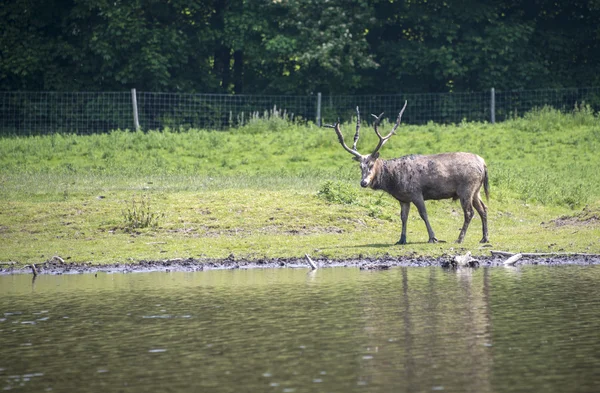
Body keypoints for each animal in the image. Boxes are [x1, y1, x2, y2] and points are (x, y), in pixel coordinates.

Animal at [324, 103, 488, 245]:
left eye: (371, 164)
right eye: (360, 166)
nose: (363, 182)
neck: (394, 182)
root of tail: (483, 163)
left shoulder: (416, 192)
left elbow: (423, 214)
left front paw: (433, 237)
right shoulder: (403, 198)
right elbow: (403, 217)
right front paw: (401, 239)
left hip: (466, 188)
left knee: (469, 212)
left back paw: (460, 239)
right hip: (476, 190)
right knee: (483, 208)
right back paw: (484, 238)